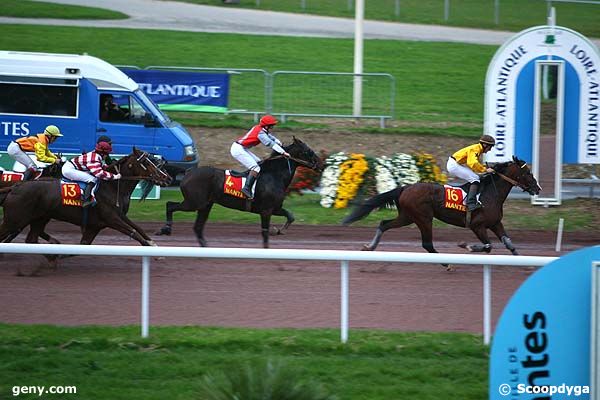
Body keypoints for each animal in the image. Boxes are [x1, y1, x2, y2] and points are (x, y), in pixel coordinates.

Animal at [0, 148, 171, 247]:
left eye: (154, 160)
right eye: (146, 162)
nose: (167, 178)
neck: (112, 187)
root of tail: (16, 187)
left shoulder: (99, 224)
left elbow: (138, 228)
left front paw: (153, 243)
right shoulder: (112, 218)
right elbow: (134, 232)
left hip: (38, 218)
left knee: (31, 238)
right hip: (15, 219)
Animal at [155, 138, 324, 247]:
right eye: (308, 151)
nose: (321, 164)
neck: (274, 175)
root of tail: (188, 172)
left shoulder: (274, 208)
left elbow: (290, 216)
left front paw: (279, 230)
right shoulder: (266, 210)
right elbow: (265, 233)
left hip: (205, 205)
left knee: (197, 227)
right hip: (194, 202)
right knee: (170, 205)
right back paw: (166, 229)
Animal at [342, 156, 544, 266]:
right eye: (528, 173)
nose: (538, 188)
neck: (490, 194)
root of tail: (405, 188)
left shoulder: (495, 223)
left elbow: (509, 243)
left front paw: (523, 263)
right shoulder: (477, 226)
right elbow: (488, 246)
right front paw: (466, 246)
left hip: (407, 216)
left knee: (384, 224)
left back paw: (370, 246)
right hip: (423, 218)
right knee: (427, 244)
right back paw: (446, 263)